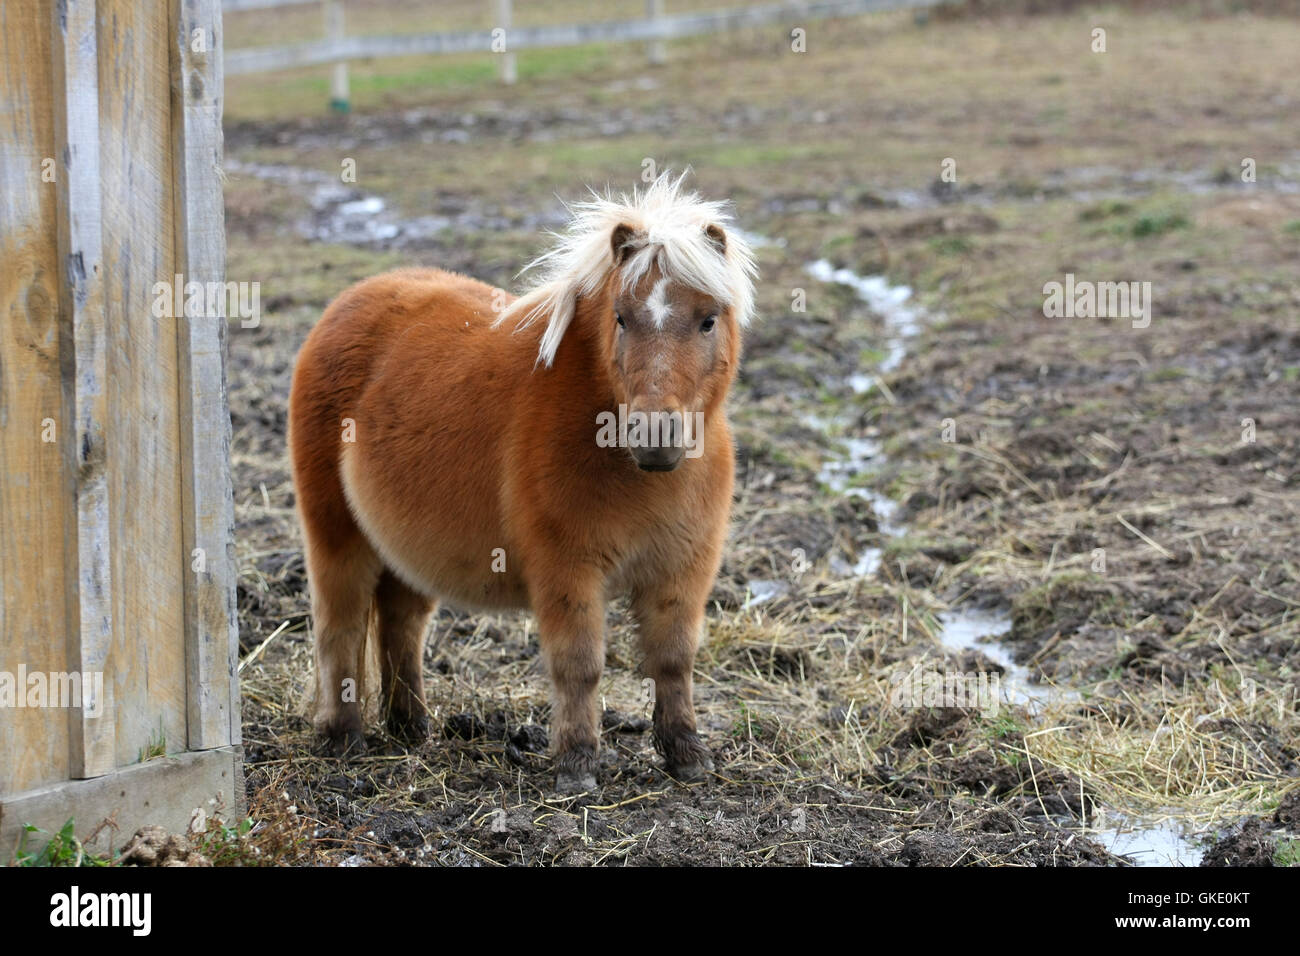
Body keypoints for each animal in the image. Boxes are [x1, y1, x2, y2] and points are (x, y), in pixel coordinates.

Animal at [288, 172, 757, 792]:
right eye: (621, 317)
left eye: (708, 319)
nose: (655, 435)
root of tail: (348, 303)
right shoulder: (567, 570)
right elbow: (579, 665)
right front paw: (577, 767)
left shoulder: (682, 570)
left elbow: (673, 659)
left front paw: (687, 756)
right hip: (337, 534)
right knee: (339, 626)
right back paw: (342, 739)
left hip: (406, 548)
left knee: (400, 622)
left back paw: (411, 727)